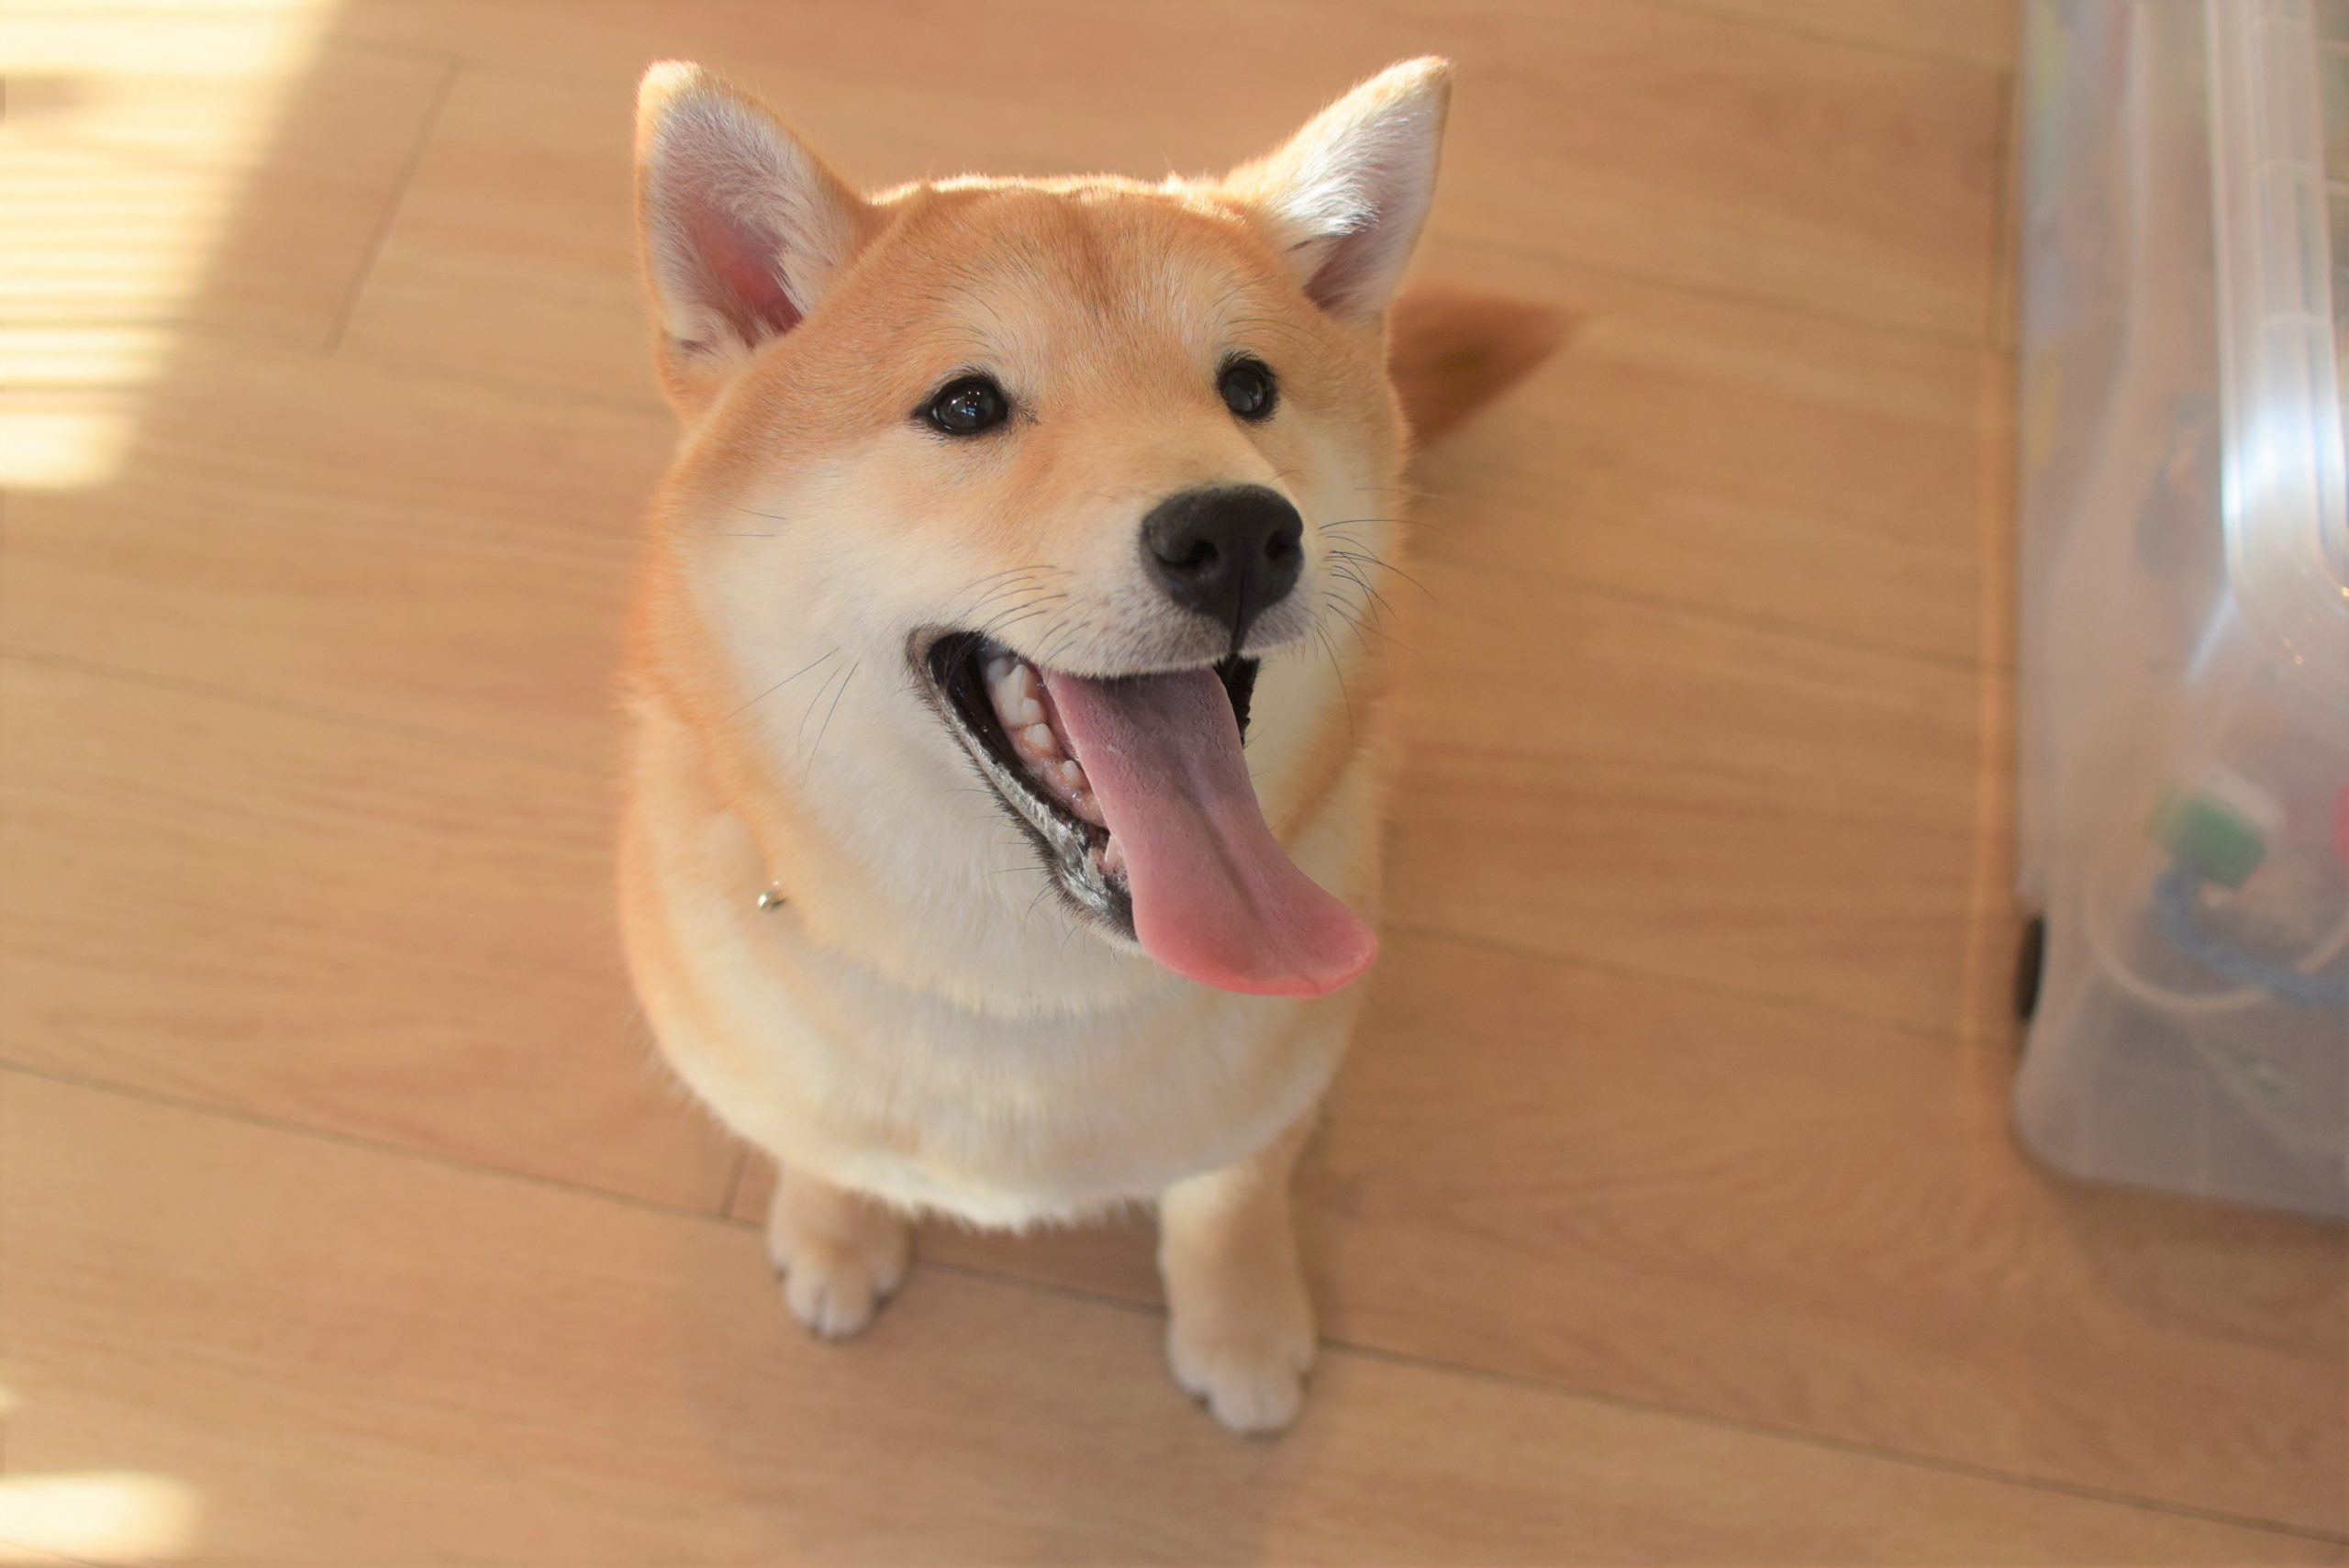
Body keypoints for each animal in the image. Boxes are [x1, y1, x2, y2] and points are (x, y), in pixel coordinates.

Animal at [617, 55, 1553, 1433]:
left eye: (1249, 389)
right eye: (964, 404)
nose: (1238, 531)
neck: (1024, 987)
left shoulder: (1277, 1089)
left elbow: (1229, 1199)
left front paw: (1242, 1323)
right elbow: (821, 1147)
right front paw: (838, 1229)